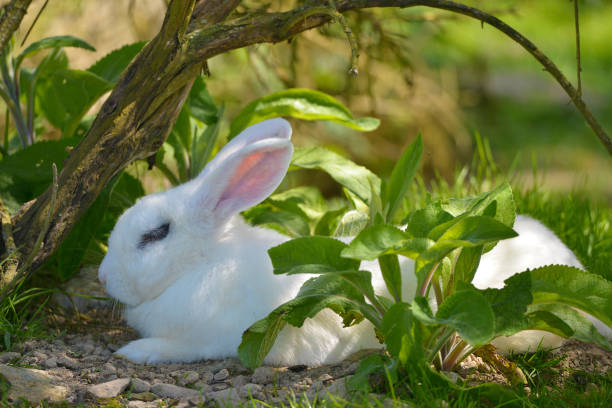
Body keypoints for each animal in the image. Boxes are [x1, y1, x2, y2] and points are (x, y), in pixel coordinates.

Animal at [98, 118, 608, 366]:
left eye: (155, 235)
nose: (103, 278)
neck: (205, 266)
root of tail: (572, 262)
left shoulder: (225, 338)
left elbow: (184, 349)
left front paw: (137, 352)